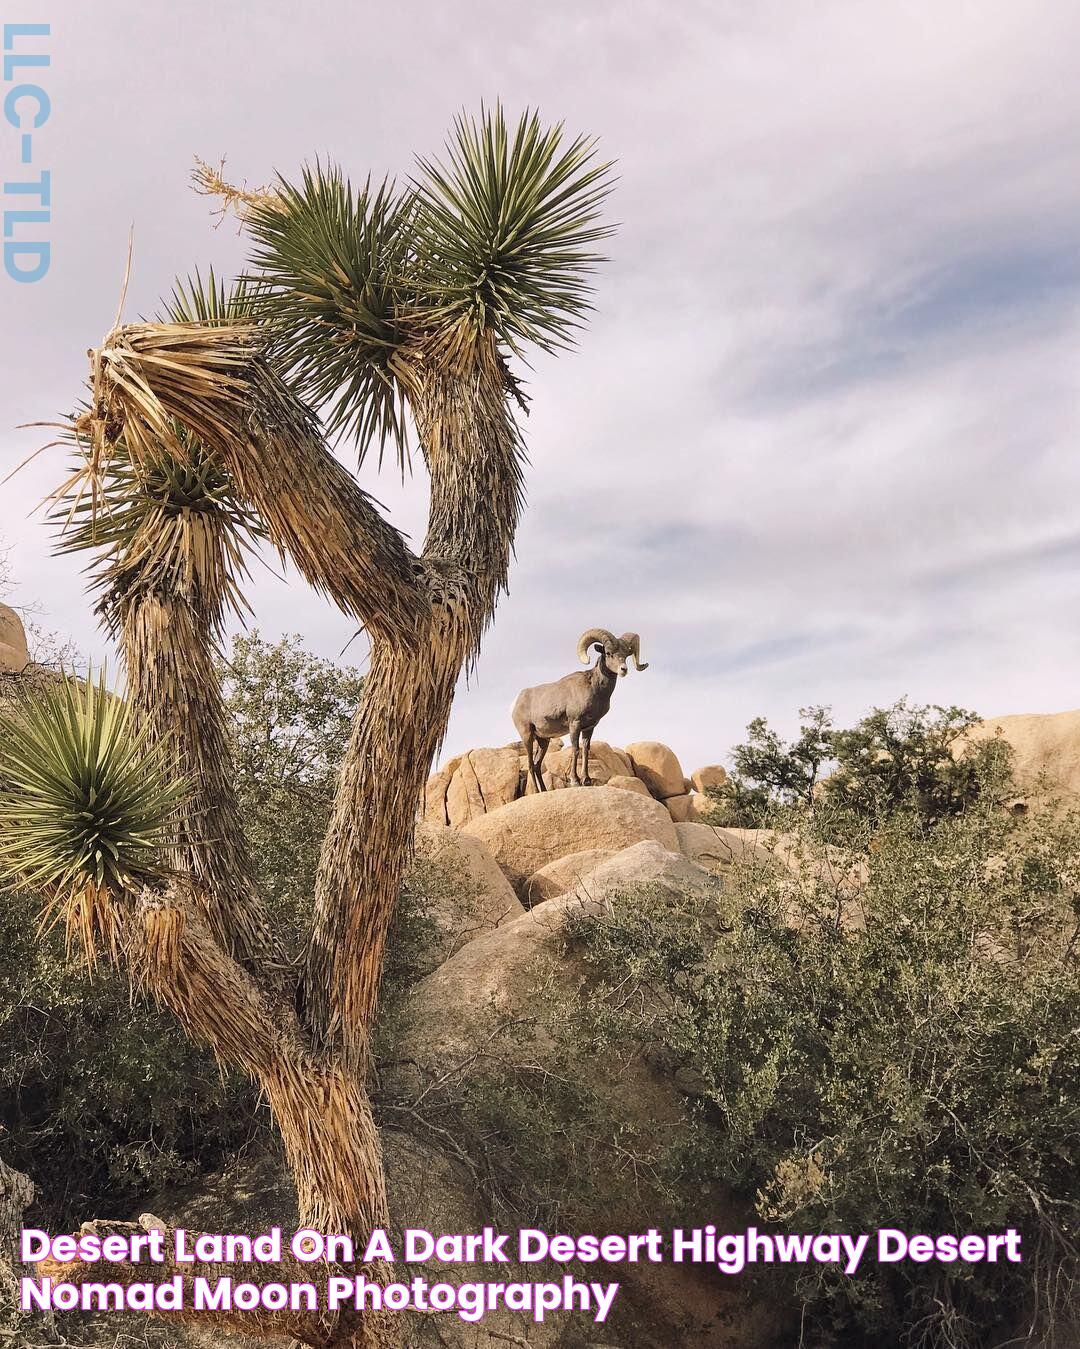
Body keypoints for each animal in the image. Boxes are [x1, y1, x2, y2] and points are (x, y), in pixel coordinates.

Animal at [509, 628, 644, 787]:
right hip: (527, 736)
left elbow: (585, 750)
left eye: (626, 655)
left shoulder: (589, 727)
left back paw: (544, 790)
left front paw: (587, 780)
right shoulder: (575, 724)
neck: (595, 690)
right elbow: (575, 750)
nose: (623, 669)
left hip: (543, 741)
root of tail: (516, 702)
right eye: (609, 653)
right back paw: (536, 791)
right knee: (530, 765)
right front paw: (575, 781)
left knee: (536, 765)